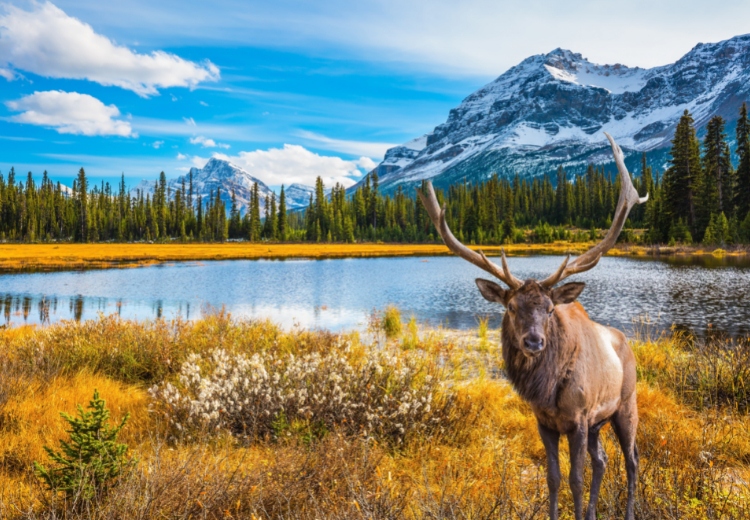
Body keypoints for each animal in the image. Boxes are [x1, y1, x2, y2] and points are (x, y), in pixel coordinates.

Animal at [420, 132, 648, 516]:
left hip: (625, 405)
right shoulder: (545, 423)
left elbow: (575, 480)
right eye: (511, 307)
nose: (533, 342)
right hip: (599, 423)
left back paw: (630, 511)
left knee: (632, 460)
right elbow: (553, 479)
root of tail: (625, 342)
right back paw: (594, 510)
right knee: (603, 460)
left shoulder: (579, 419)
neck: (549, 389)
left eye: (550, 308)